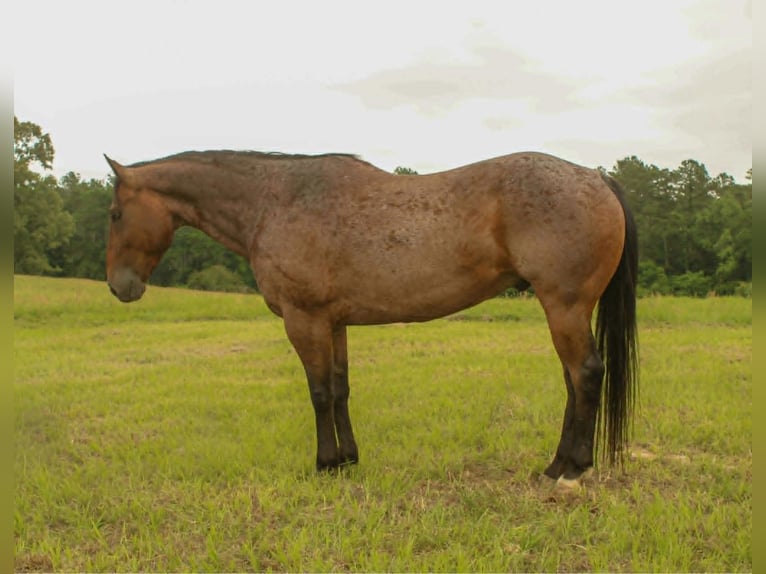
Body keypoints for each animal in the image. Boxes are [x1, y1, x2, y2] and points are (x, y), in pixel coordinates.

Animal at [104, 149, 638, 484]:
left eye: (113, 214)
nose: (118, 286)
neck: (275, 201)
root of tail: (595, 177)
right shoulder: (334, 322)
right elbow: (340, 390)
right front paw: (348, 460)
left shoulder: (303, 320)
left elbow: (318, 393)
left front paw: (324, 464)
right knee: (573, 380)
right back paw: (556, 464)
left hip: (564, 306)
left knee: (585, 374)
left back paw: (571, 469)